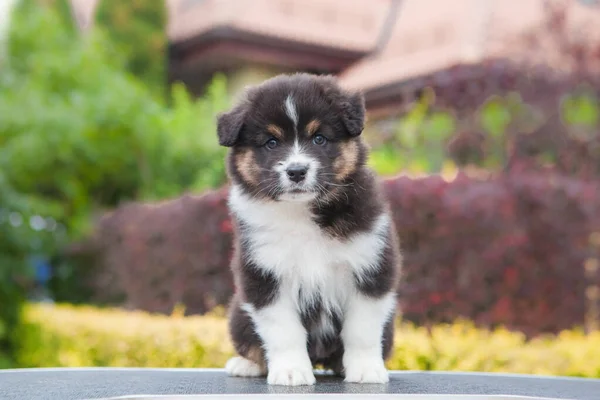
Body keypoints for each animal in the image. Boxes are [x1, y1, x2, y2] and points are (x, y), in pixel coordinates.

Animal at [218, 73, 400, 386]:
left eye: (319, 138)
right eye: (271, 142)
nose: (296, 171)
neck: (301, 212)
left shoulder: (369, 267)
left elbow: (362, 329)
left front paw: (365, 369)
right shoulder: (265, 277)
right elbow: (284, 331)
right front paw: (291, 371)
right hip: (239, 314)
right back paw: (246, 364)